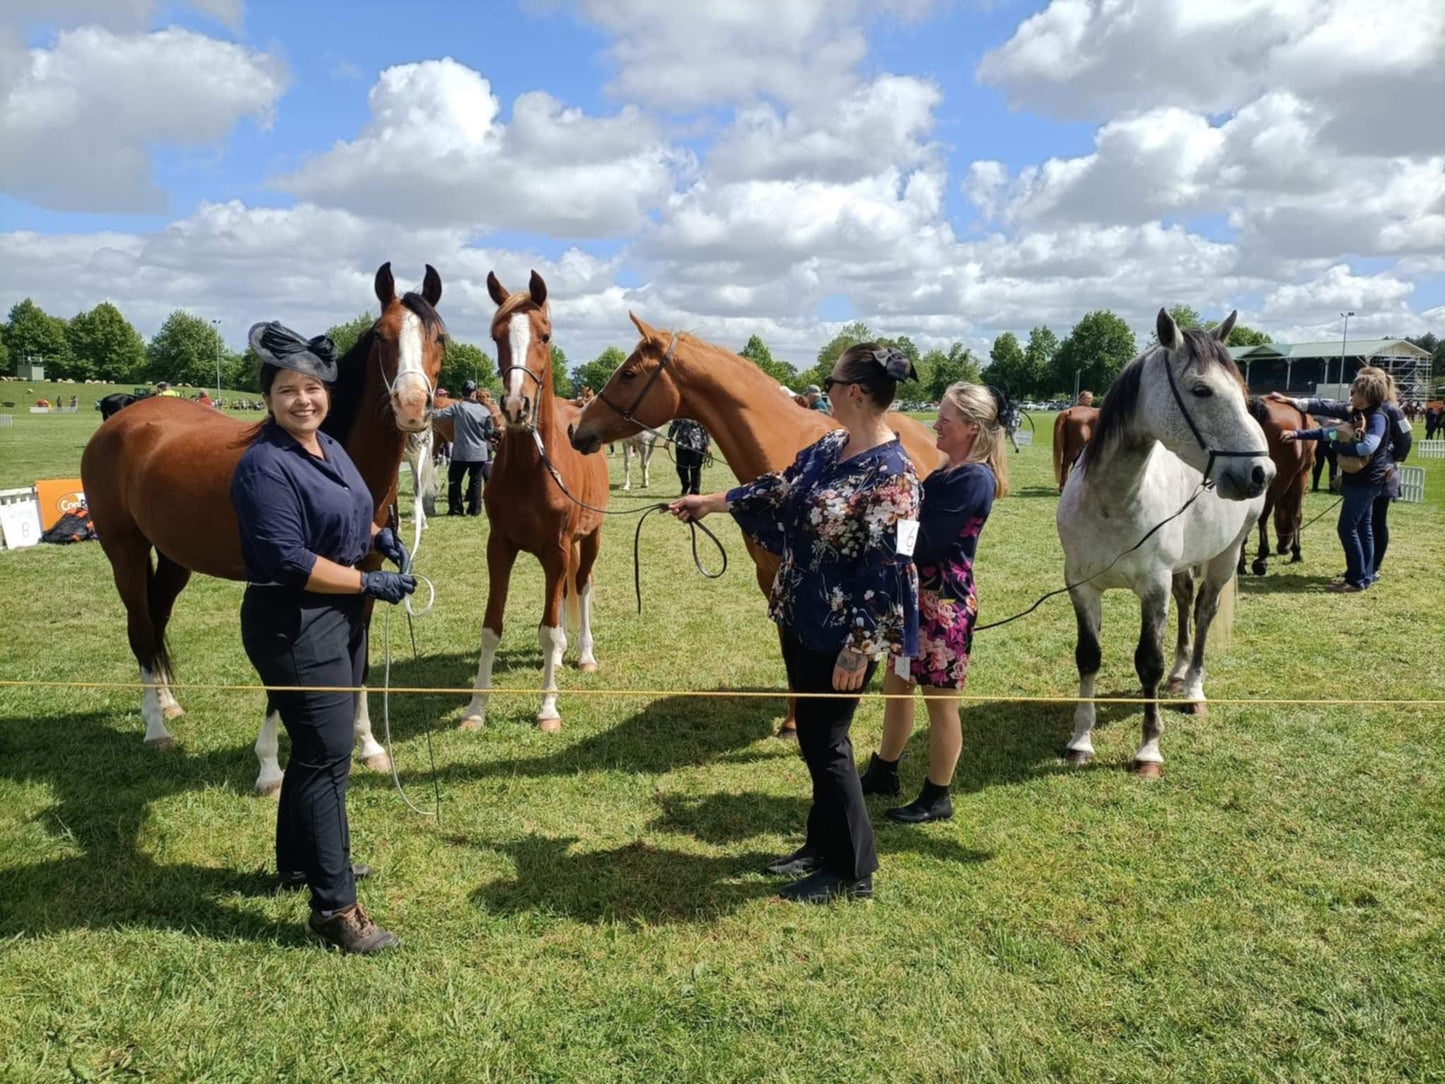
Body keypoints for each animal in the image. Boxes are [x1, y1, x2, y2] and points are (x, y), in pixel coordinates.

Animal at [83, 258, 445, 792]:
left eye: (438, 336)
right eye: (382, 335)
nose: (412, 405)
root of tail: (124, 418)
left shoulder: (366, 577)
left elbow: (357, 661)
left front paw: (369, 746)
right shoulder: (290, 582)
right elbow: (283, 678)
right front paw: (270, 766)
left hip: (172, 556)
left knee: (157, 617)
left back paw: (169, 703)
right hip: (124, 550)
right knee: (140, 626)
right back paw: (155, 727)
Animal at [462, 270, 609, 740]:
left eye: (545, 336)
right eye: (496, 336)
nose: (514, 406)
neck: (532, 465)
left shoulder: (558, 550)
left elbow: (548, 630)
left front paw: (547, 709)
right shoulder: (500, 547)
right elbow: (492, 628)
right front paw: (475, 709)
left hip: (589, 539)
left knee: (581, 586)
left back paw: (583, 655)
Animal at [569, 313, 942, 740]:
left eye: (629, 374)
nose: (576, 429)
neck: (780, 440)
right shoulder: (772, 579)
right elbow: (791, 655)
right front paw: (793, 723)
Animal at [1057, 313, 1271, 780]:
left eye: (1243, 393)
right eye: (1201, 390)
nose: (1261, 472)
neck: (1112, 502)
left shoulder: (1152, 588)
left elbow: (1147, 662)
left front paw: (1148, 750)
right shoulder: (1081, 585)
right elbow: (1088, 656)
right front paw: (1080, 741)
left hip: (1226, 556)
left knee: (1205, 612)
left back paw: (1192, 689)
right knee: (1188, 601)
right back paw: (1178, 675)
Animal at [1236, 396, 1317, 578]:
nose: (1283, 548)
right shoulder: (1301, 475)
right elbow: (1296, 514)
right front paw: (1296, 552)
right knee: (1262, 515)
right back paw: (1261, 559)